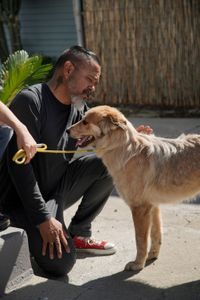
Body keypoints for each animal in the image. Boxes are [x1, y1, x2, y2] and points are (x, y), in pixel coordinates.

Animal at [68, 105, 200, 272]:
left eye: (85, 122)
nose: (67, 130)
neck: (125, 150)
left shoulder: (140, 208)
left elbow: (140, 240)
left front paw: (137, 264)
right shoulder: (152, 206)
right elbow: (156, 235)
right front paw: (151, 257)